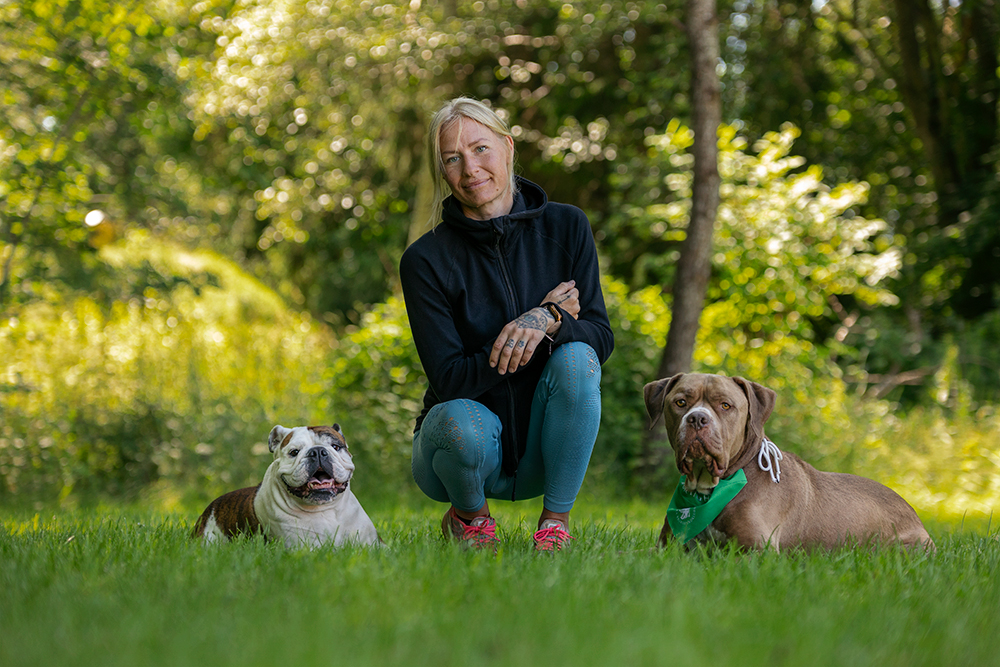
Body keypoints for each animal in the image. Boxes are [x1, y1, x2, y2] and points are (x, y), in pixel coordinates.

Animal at [644, 374, 932, 552]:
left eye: (725, 405)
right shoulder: (665, 547)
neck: (711, 489)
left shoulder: (756, 550)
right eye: (680, 402)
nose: (697, 419)